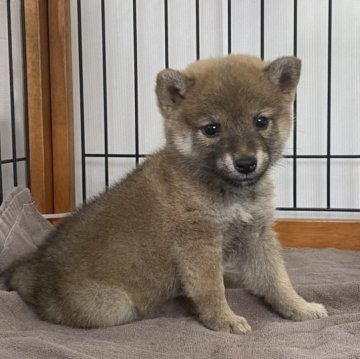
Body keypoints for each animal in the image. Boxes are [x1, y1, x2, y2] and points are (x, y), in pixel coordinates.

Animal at [5, 54, 328, 334]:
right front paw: (223, 320)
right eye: (212, 128)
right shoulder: (198, 242)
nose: (246, 163)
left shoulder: (256, 234)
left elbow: (277, 280)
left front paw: (299, 307)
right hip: (114, 307)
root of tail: (37, 272)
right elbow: (211, 289)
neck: (226, 190)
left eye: (261, 121)